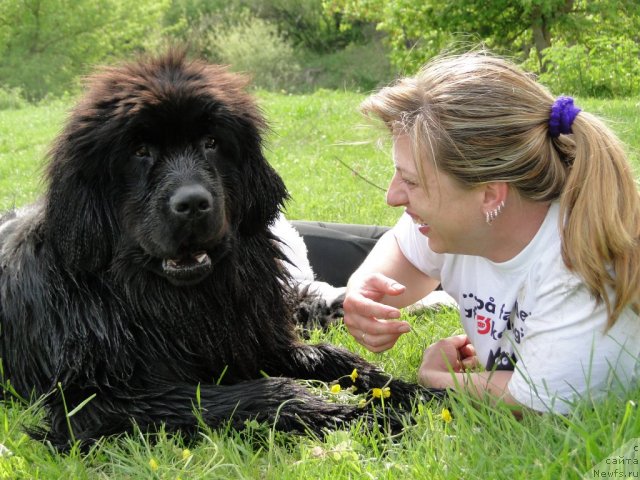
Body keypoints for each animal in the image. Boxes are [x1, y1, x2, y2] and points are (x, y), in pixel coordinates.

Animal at [0, 50, 440, 448]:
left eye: (211, 142)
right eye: (139, 151)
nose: (193, 203)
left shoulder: (254, 339)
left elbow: (333, 357)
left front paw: (418, 393)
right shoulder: (98, 400)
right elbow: (258, 394)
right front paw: (363, 415)